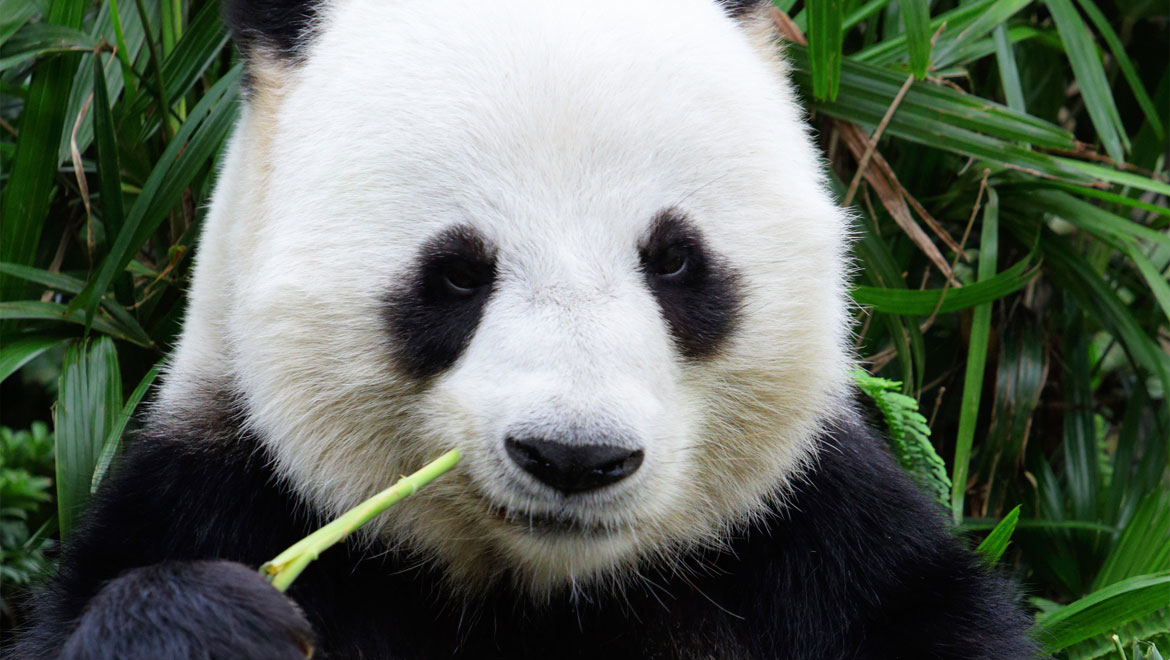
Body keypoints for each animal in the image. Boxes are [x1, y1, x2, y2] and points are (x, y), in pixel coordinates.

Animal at [11, 1, 1034, 660]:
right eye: (459, 272)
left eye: (675, 261)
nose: (575, 458)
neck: (545, 590)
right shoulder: (225, 487)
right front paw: (216, 623)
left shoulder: (816, 548)